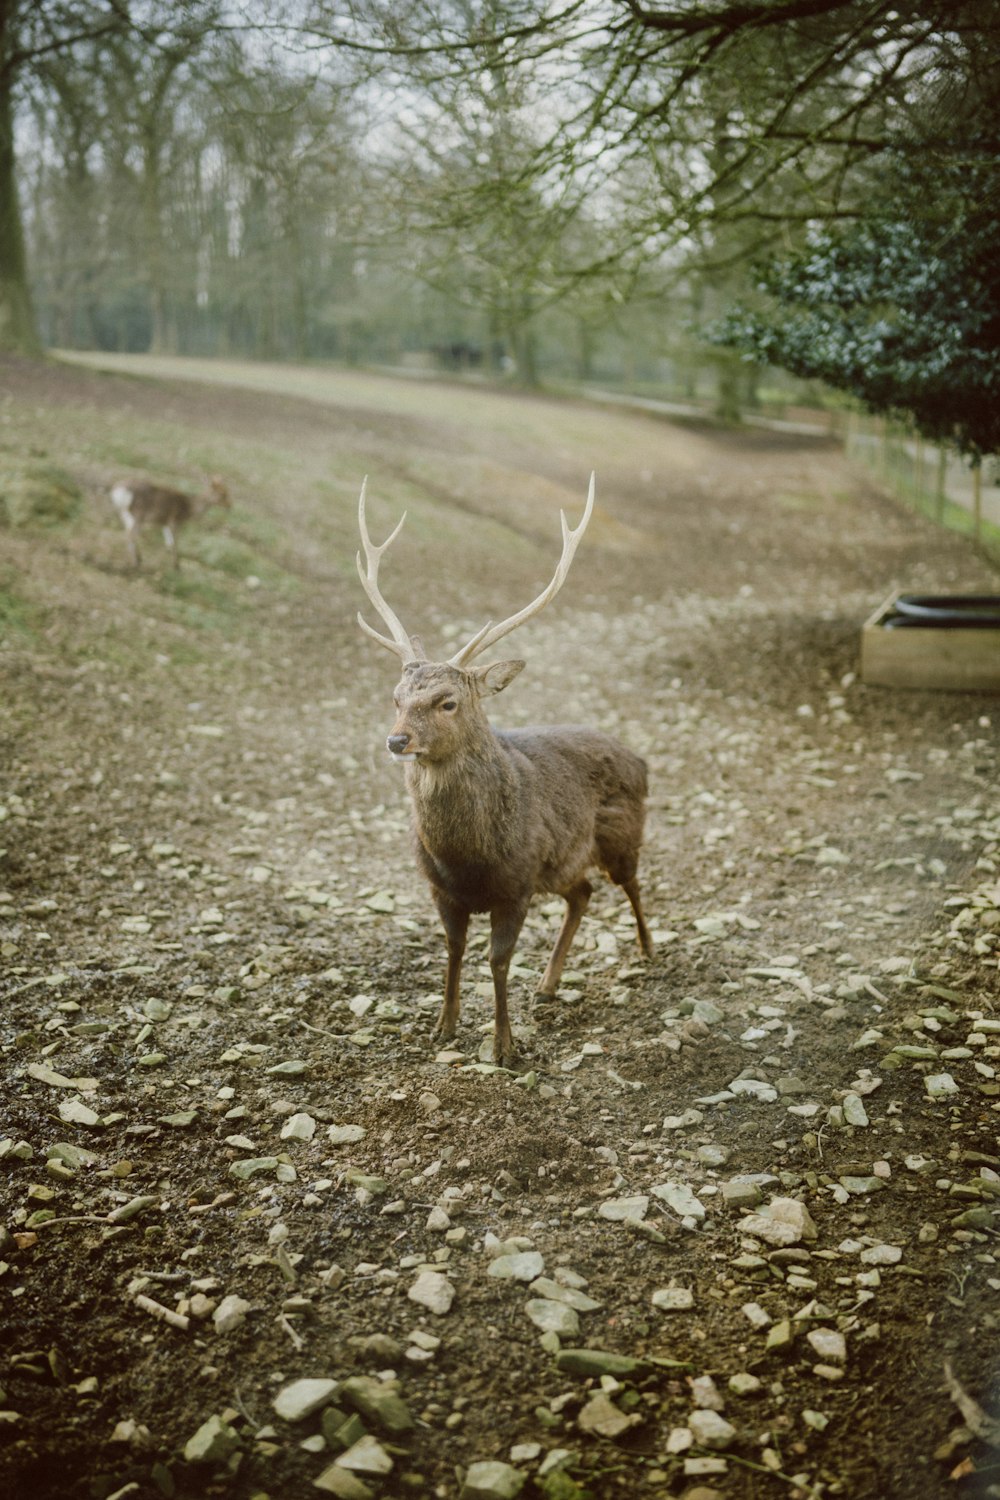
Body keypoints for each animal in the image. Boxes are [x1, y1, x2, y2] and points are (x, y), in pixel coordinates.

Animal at [355, 474, 653, 1074]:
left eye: (447, 701)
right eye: (396, 697)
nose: (397, 740)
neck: (467, 857)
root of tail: (641, 759)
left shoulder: (516, 883)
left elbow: (496, 962)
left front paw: (504, 1045)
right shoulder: (440, 889)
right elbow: (453, 951)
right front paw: (442, 1027)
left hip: (621, 836)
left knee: (632, 885)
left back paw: (649, 950)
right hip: (561, 865)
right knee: (582, 894)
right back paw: (549, 983)